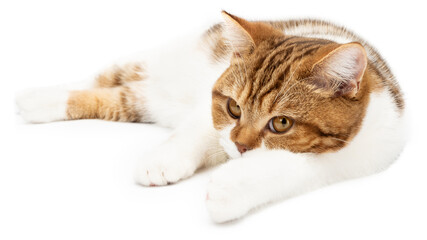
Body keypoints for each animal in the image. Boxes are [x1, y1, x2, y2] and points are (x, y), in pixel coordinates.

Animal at [15, 11, 408, 223]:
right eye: (234, 108)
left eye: (281, 123)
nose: (239, 146)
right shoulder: (209, 108)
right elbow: (196, 130)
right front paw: (164, 160)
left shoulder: (356, 155)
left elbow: (291, 166)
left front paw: (230, 188)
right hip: (153, 62)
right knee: (105, 78)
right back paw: (38, 97)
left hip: (144, 99)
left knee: (119, 98)